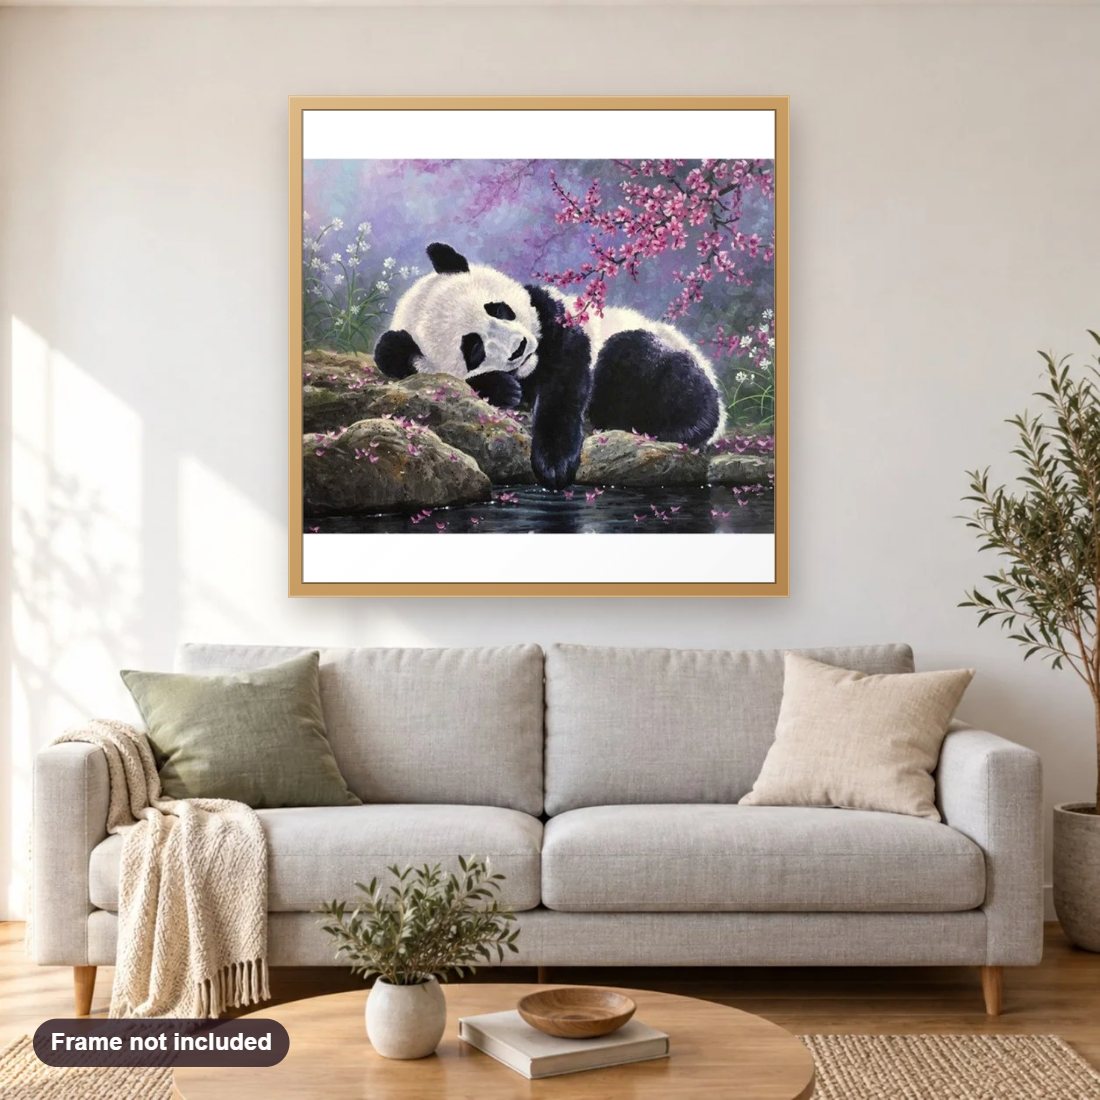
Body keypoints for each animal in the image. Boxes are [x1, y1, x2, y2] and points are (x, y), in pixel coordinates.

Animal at [374, 242, 725, 490]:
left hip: (660, 353)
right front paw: (503, 389)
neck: (532, 367)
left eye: (498, 309)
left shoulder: (558, 317)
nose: (520, 348)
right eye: (474, 348)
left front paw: (554, 463)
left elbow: (565, 380)